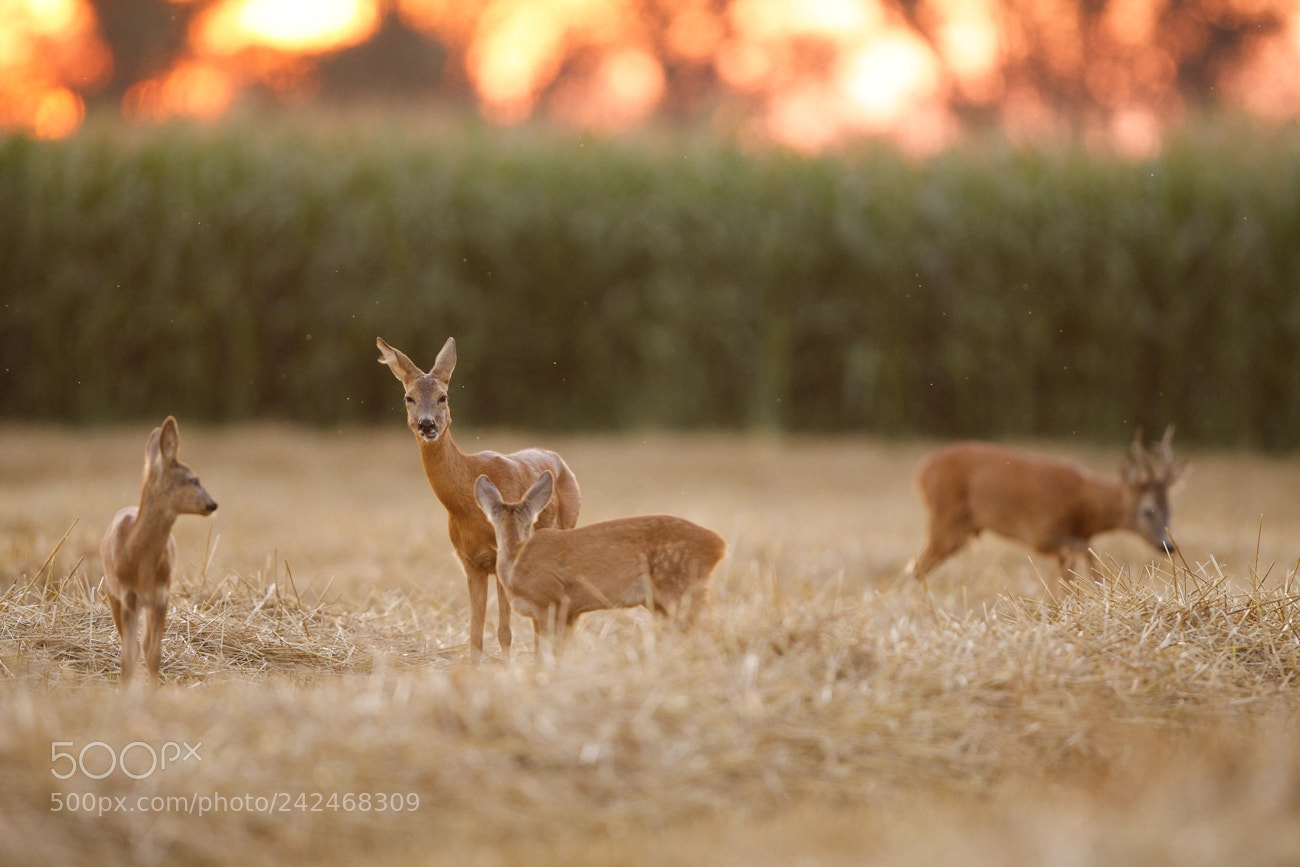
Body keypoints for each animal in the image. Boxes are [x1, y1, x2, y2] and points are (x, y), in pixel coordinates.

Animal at [100, 416, 217, 687]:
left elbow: (153, 653)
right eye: (194, 479)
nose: (212, 504)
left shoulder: (162, 595)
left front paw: (153, 690)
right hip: (112, 593)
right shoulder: (127, 594)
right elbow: (129, 654)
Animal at [377, 336, 581, 661]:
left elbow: (504, 631)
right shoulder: (469, 560)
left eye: (443, 397)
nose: (426, 425)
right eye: (408, 397)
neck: (467, 509)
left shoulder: (502, 556)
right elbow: (475, 633)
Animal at [474, 471, 727, 647]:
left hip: (681, 588)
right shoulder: (570, 612)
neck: (515, 559)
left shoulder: (551, 601)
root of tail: (719, 545)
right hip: (665, 600)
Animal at [908, 427, 1187, 586]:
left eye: (1170, 509)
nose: (1168, 545)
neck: (1083, 506)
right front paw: (1100, 588)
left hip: (963, 531)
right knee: (917, 566)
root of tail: (923, 470)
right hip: (945, 519)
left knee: (920, 566)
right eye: (1147, 510)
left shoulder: (1064, 544)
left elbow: (1071, 571)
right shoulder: (1041, 534)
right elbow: (1086, 552)